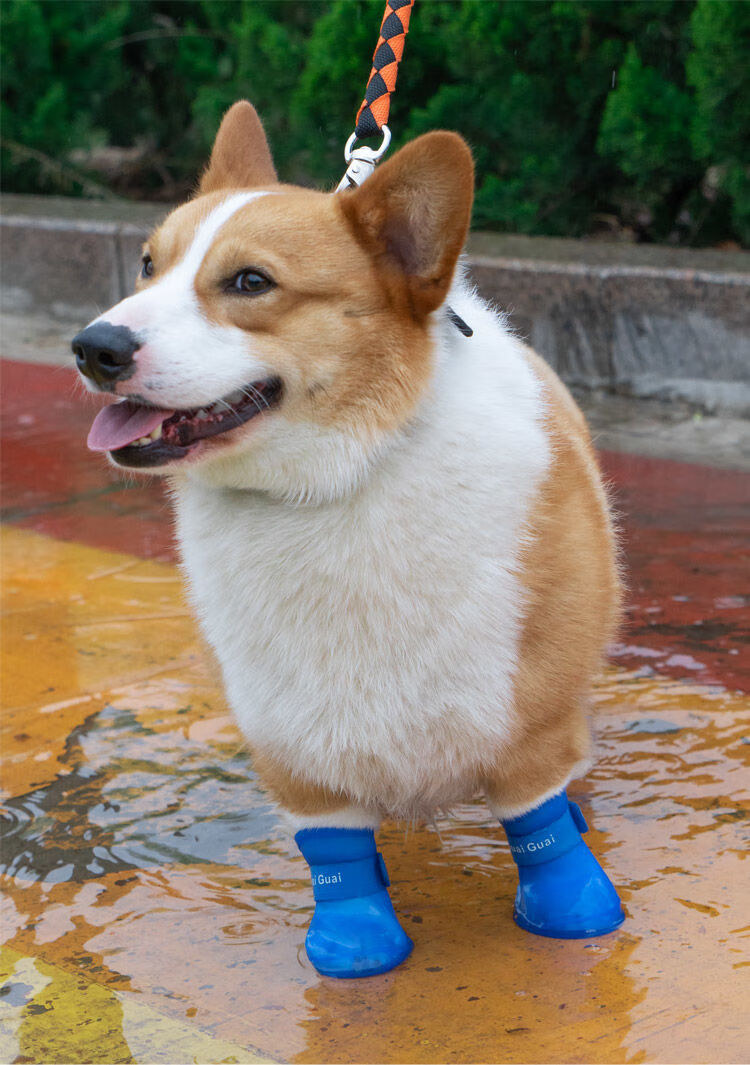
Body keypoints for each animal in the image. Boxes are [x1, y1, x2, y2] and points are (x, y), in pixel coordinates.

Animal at [73, 103, 622, 975]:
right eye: (147, 265)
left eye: (250, 282)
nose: (94, 348)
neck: (333, 482)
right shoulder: (295, 750)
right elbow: (336, 854)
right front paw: (354, 948)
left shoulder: (527, 731)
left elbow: (539, 829)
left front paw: (575, 915)